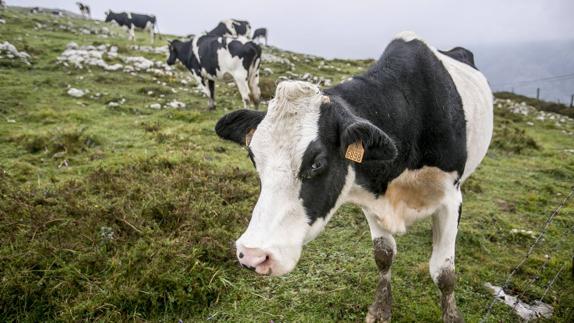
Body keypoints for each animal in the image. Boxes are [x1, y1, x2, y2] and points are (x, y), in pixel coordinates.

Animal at [216, 31, 496, 323]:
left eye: (317, 163)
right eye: (253, 157)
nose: (253, 255)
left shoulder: (451, 198)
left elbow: (444, 273)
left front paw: (452, 315)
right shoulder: (371, 197)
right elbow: (384, 255)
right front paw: (380, 309)